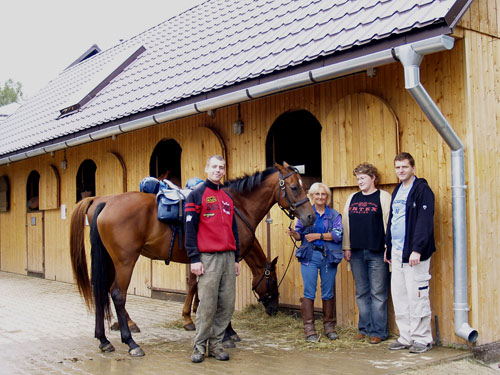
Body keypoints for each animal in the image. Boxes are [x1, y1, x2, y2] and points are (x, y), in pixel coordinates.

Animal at [70, 162, 314, 356]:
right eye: (294, 187)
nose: (310, 217)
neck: (238, 207)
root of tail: (105, 203)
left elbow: (196, 287)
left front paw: (193, 320)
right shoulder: (225, 260)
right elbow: (218, 295)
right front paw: (227, 333)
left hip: (110, 261)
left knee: (101, 291)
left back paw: (104, 340)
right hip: (124, 262)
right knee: (117, 295)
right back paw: (130, 342)